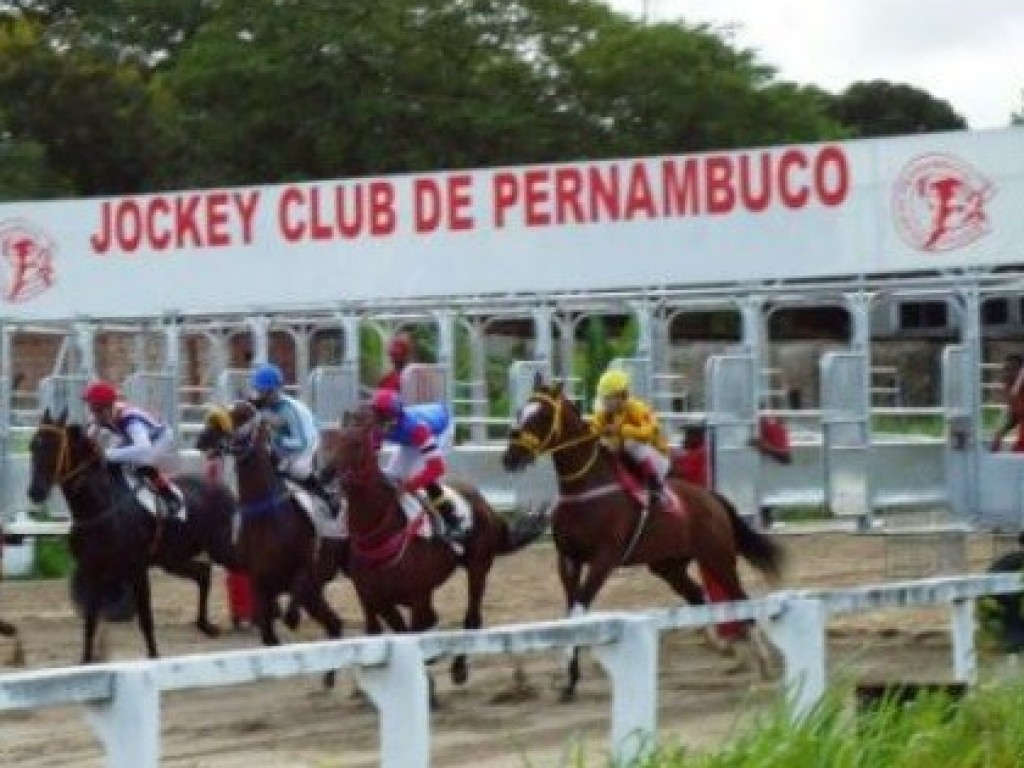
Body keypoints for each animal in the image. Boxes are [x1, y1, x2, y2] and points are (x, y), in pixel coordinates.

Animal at [193, 403, 346, 684]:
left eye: (240, 417)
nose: (202, 439)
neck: (268, 516)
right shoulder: (260, 582)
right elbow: (268, 637)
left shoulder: (304, 569)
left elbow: (291, 607)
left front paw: (292, 620)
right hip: (314, 594)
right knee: (335, 625)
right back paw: (328, 679)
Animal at [327, 411, 552, 700]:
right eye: (329, 441)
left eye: (355, 443)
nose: (324, 474)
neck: (380, 532)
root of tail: (483, 502)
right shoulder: (375, 597)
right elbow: (400, 630)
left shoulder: (416, 594)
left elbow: (414, 631)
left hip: (478, 565)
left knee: (472, 618)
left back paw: (459, 667)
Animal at [501, 378, 782, 704]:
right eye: (520, 411)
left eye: (542, 415)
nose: (510, 458)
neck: (586, 488)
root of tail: (712, 499)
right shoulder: (568, 559)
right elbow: (570, 616)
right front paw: (569, 682)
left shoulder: (603, 560)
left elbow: (579, 610)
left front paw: (570, 678)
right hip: (668, 566)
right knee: (698, 595)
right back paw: (724, 648)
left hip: (718, 557)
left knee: (739, 598)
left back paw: (762, 661)